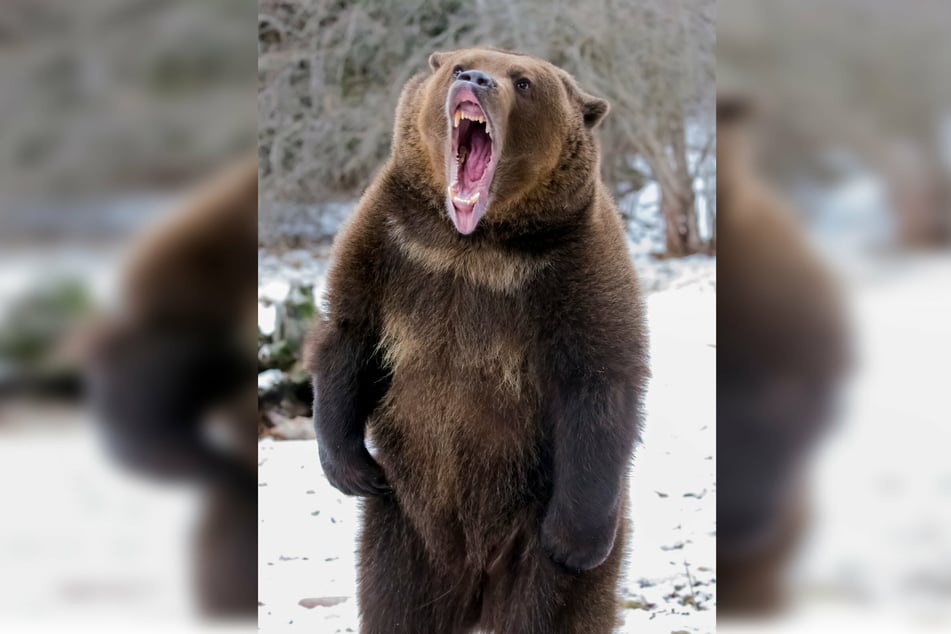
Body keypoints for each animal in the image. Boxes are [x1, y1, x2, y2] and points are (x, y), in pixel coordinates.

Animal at [306, 48, 649, 633]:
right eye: (458, 64)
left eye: (524, 81)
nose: (477, 79)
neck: (472, 242)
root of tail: (476, 577)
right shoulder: (392, 246)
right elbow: (350, 336)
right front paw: (352, 470)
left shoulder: (573, 267)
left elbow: (601, 376)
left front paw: (575, 540)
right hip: (405, 534)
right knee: (396, 605)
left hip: (527, 528)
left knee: (548, 611)